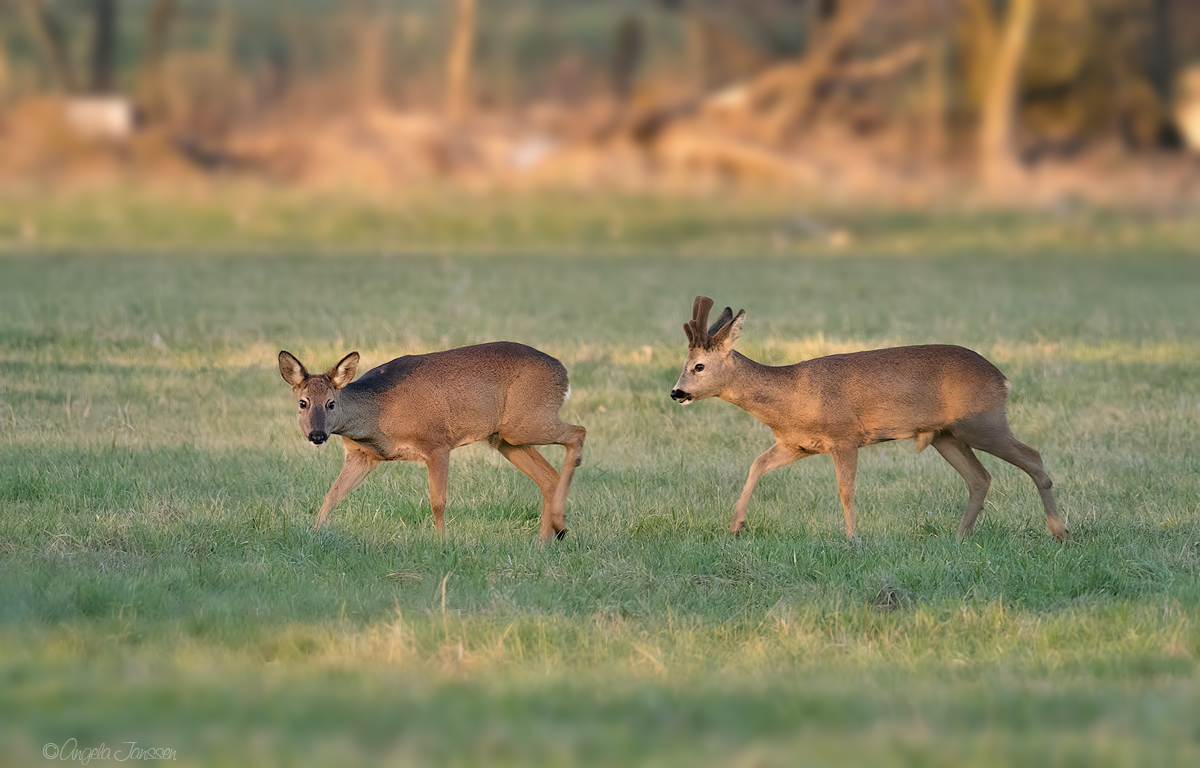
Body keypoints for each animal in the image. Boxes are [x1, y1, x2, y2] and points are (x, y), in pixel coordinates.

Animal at [276, 340, 585, 540]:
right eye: (303, 403)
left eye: (330, 403)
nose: (317, 435)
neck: (377, 413)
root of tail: (563, 373)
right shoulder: (361, 456)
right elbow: (332, 495)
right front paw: (314, 533)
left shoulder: (437, 442)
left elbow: (438, 501)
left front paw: (442, 543)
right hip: (506, 438)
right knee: (549, 478)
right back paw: (548, 539)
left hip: (526, 422)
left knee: (578, 432)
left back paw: (559, 527)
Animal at [672, 297, 1075, 542]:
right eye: (685, 364)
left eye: (699, 366)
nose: (676, 392)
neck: (791, 396)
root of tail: (1002, 379)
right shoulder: (797, 444)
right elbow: (757, 464)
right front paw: (735, 526)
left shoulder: (845, 437)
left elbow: (846, 490)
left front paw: (853, 539)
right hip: (947, 435)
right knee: (980, 478)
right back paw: (959, 537)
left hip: (983, 422)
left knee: (1033, 457)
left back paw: (1060, 532)